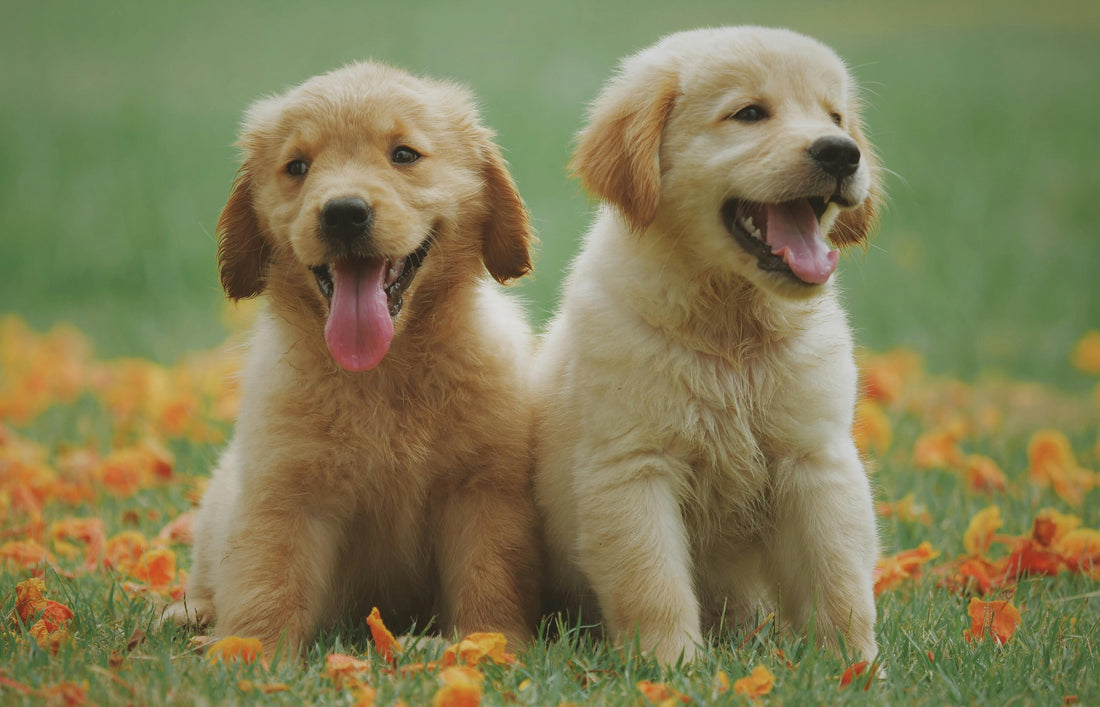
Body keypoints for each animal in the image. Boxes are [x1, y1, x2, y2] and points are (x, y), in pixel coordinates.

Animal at [162, 63, 541, 655]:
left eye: (404, 155)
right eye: (297, 167)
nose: (343, 214)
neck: (382, 372)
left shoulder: (483, 489)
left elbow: (489, 573)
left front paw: (487, 642)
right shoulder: (284, 490)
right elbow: (267, 577)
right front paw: (248, 652)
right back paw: (190, 615)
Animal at [532, 26, 884, 664]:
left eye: (835, 116)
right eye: (749, 114)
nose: (843, 152)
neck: (731, 329)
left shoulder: (815, 459)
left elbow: (839, 577)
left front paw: (855, 666)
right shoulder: (633, 466)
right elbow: (653, 582)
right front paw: (671, 667)